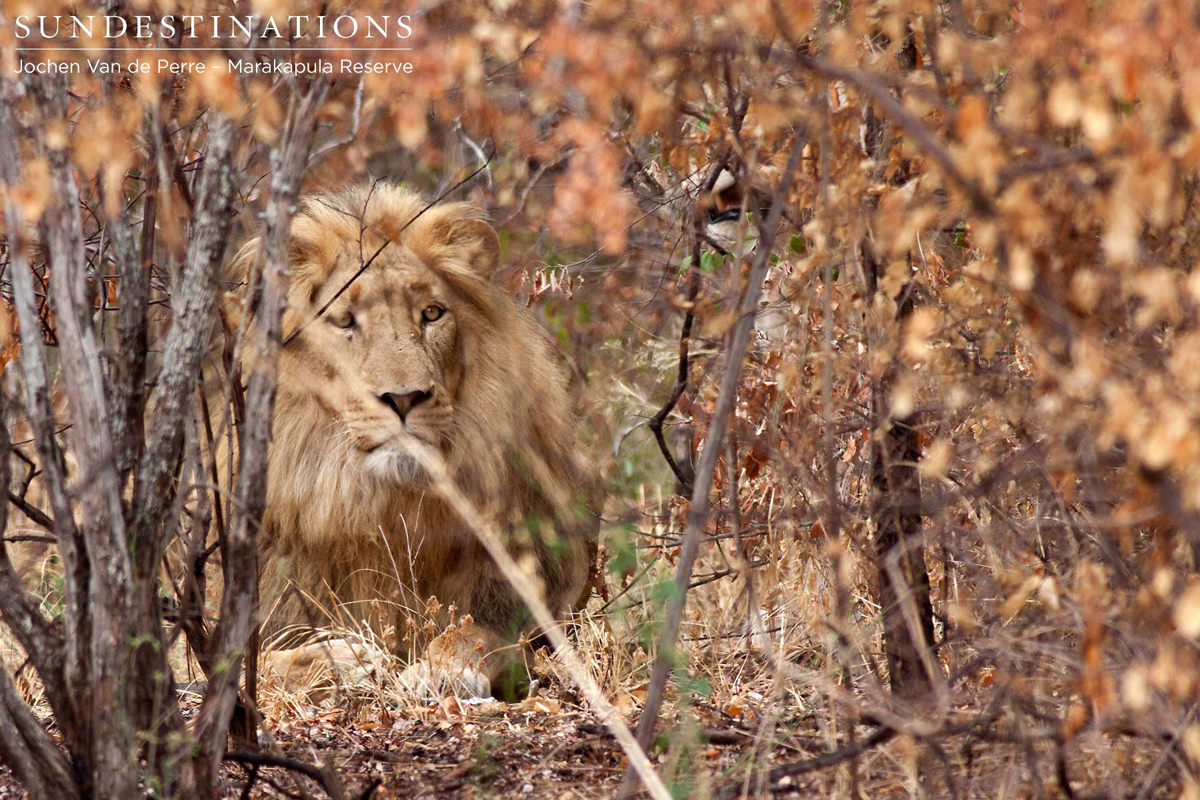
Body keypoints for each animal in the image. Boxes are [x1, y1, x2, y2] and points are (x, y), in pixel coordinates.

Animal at [217, 183, 598, 699]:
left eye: (432, 314)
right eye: (344, 322)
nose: (404, 397)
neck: (386, 510)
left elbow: (476, 633)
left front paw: (442, 672)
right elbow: (251, 667)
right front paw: (345, 660)